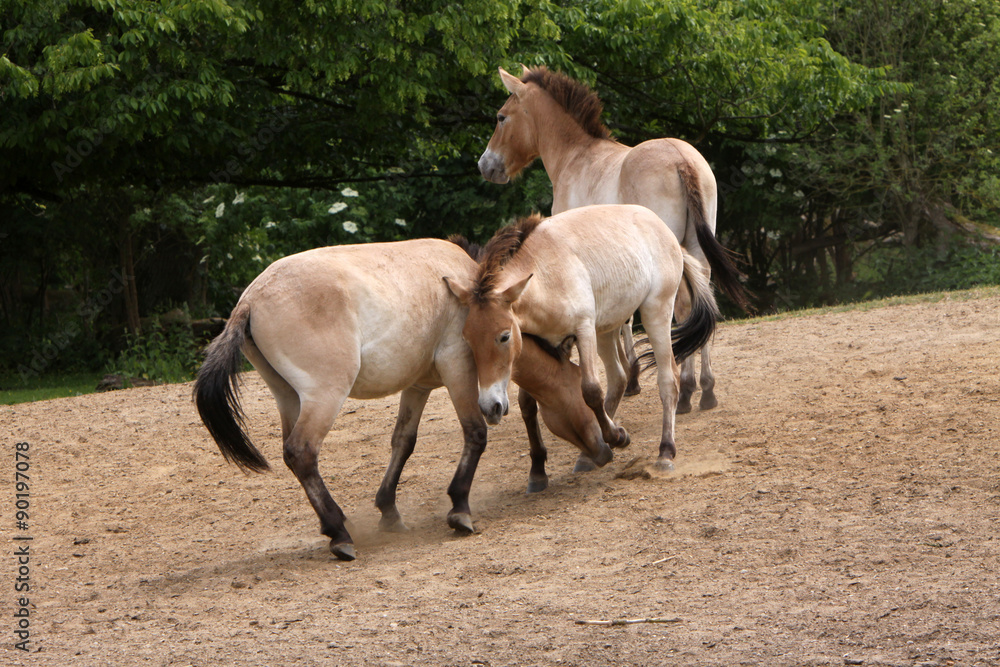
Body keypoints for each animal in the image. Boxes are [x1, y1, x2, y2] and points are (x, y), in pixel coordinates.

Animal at [194, 239, 490, 561]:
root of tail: (250, 300)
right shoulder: (458, 364)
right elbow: (475, 432)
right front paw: (459, 509)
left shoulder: (416, 387)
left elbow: (403, 441)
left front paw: (389, 512)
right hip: (325, 397)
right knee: (301, 452)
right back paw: (340, 534)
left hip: (288, 397)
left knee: (293, 455)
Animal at [444, 204, 719, 472]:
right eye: (467, 339)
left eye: (504, 336)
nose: (489, 408)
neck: (544, 272)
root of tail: (667, 233)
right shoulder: (548, 345)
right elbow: (530, 402)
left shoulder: (584, 330)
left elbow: (590, 391)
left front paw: (615, 437)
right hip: (606, 330)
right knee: (619, 378)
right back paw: (592, 454)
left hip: (656, 313)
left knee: (668, 379)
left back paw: (665, 451)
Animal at [478, 65, 749, 412]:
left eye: (501, 117)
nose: (485, 165)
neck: (576, 156)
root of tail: (681, 159)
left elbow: (620, 321)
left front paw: (629, 377)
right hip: (696, 251)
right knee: (703, 298)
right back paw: (706, 389)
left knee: (683, 306)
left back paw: (687, 390)